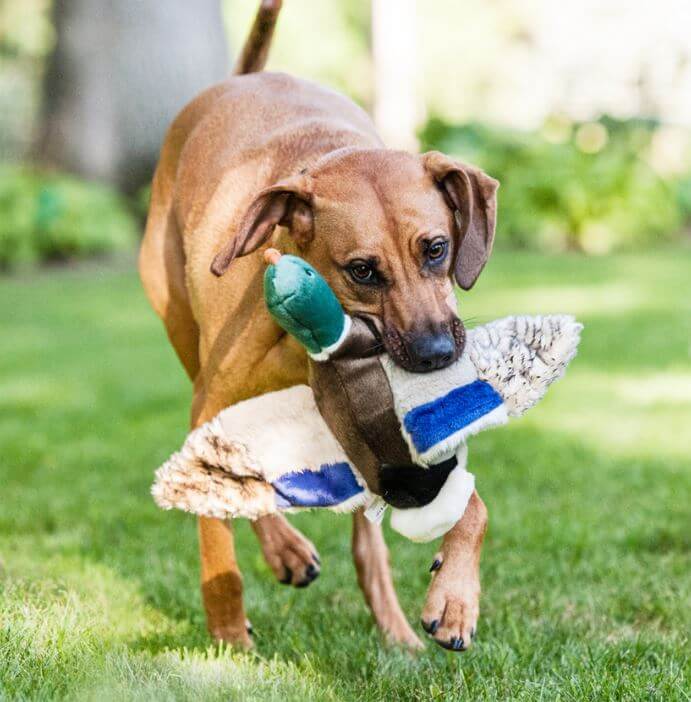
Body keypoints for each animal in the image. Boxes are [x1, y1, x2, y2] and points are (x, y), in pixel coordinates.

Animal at [139, 1, 498, 656]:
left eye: (437, 248)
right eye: (362, 270)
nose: (435, 353)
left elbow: (474, 505)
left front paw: (455, 599)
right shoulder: (208, 406)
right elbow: (216, 537)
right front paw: (227, 635)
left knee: (363, 542)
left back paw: (394, 628)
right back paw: (283, 551)